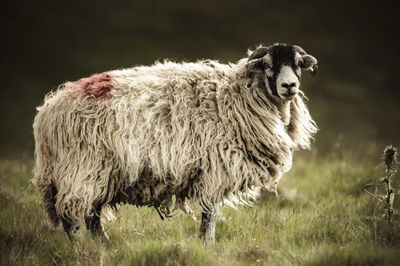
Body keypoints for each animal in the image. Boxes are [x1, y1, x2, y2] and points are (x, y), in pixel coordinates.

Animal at [32, 42, 318, 242]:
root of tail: (46, 112)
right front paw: (208, 244)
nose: (289, 86)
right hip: (82, 169)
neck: (236, 96)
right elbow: (210, 216)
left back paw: (104, 245)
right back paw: (83, 248)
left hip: (98, 174)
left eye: (297, 64)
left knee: (91, 215)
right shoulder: (215, 170)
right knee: (73, 218)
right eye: (267, 64)